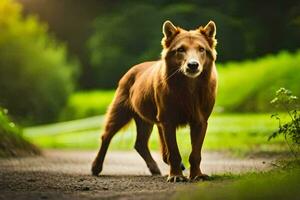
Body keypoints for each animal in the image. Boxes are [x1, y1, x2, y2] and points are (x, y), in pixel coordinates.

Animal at [91, 20, 218, 183]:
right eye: (180, 49)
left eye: (201, 49)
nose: (193, 65)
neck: (188, 88)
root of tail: (132, 69)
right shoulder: (168, 120)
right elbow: (174, 151)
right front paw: (176, 175)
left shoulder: (200, 121)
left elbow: (195, 153)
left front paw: (197, 175)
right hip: (121, 112)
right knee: (106, 136)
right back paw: (96, 167)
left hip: (146, 120)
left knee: (140, 144)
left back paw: (155, 168)